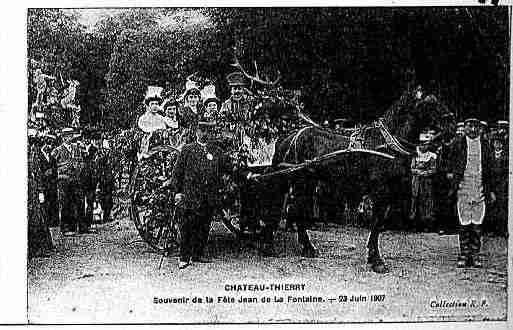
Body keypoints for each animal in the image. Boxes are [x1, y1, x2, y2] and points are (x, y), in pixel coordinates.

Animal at [258, 85, 454, 274]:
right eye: (430, 102)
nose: (452, 123)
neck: (386, 145)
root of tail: (288, 136)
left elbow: (378, 223)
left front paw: (372, 256)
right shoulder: (380, 192)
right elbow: (376, 223)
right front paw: (376, 260)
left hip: (306, 181)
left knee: (295, 209)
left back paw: (306, 247)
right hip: (297, 180)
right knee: (283, 208)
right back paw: (271, 245)